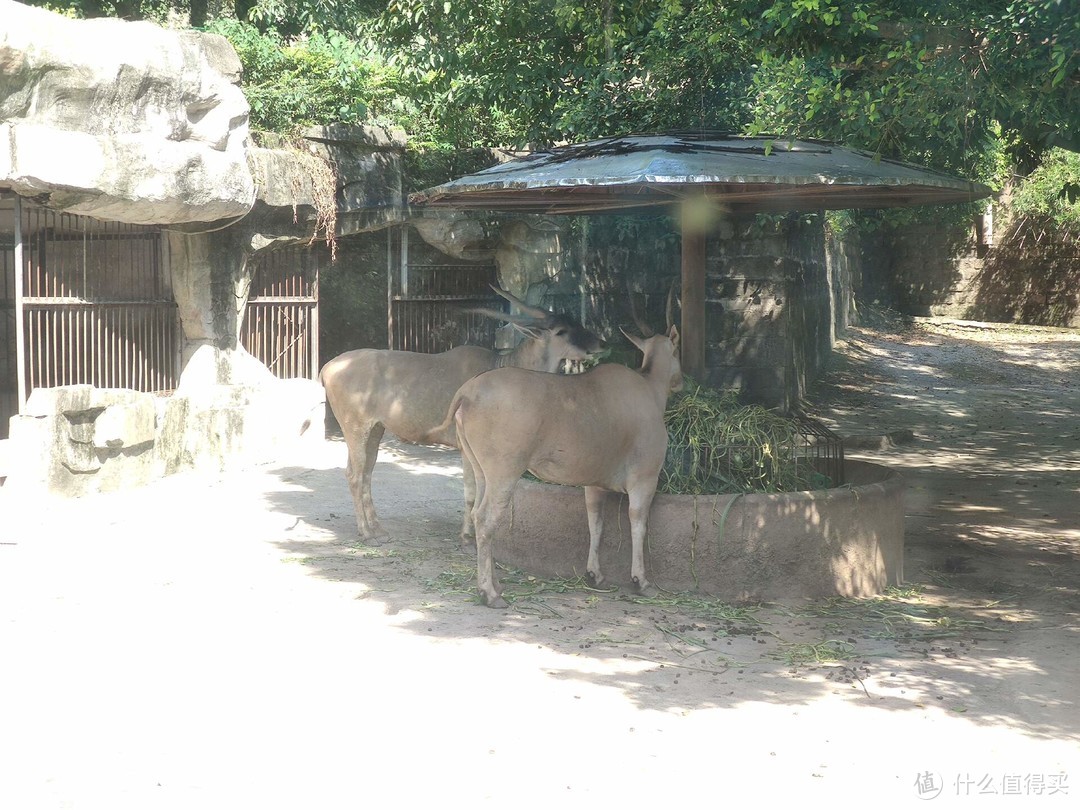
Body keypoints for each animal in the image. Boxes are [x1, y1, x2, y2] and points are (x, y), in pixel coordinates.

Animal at [319, 289, 609, 548]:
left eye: (576, 322)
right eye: (561, 331)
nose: (602, 343)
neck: (498, 366)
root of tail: (327, 367)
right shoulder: (469, 448)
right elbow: (472, 491)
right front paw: (467, 537)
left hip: (376, 430)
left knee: (366, 473)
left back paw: (377, 529)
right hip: (356, 428)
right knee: (354, 475)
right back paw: (368, 534)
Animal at [425, 324, 678, 609]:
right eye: (677, 351)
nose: (680, 381)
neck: (649, 388)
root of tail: (467, 392)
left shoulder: (594, 484)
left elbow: (595, 523)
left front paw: (596, 575)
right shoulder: (644, 478)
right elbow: (638, 522)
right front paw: (641, 581)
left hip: (479, 469)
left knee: (475, 506)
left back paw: (495, 584)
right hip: (504, 472)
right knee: (485, 518)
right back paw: (489, 593)